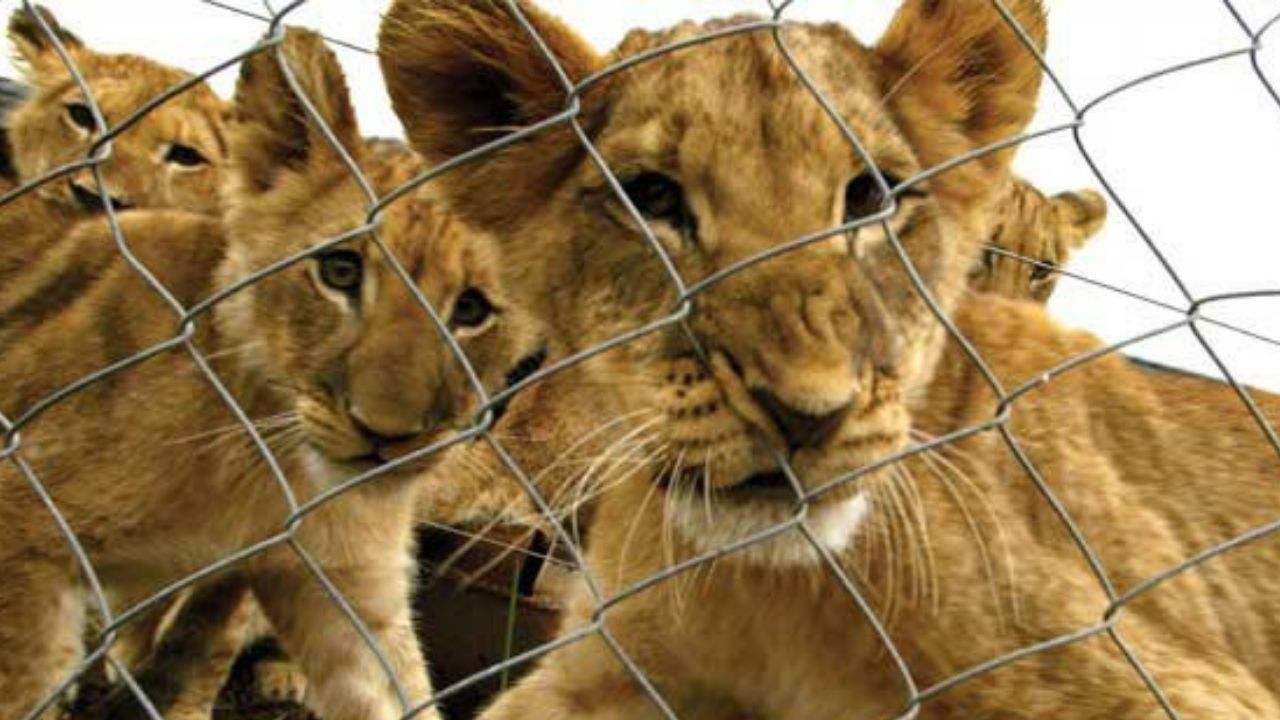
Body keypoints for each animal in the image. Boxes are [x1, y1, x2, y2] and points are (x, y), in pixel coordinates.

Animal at [0, 27, 539, 720]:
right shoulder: (23, 531)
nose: (384, 435)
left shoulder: (349, 591)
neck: (270, 473)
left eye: (471, 309)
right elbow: (27, 679)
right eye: (340, 271)